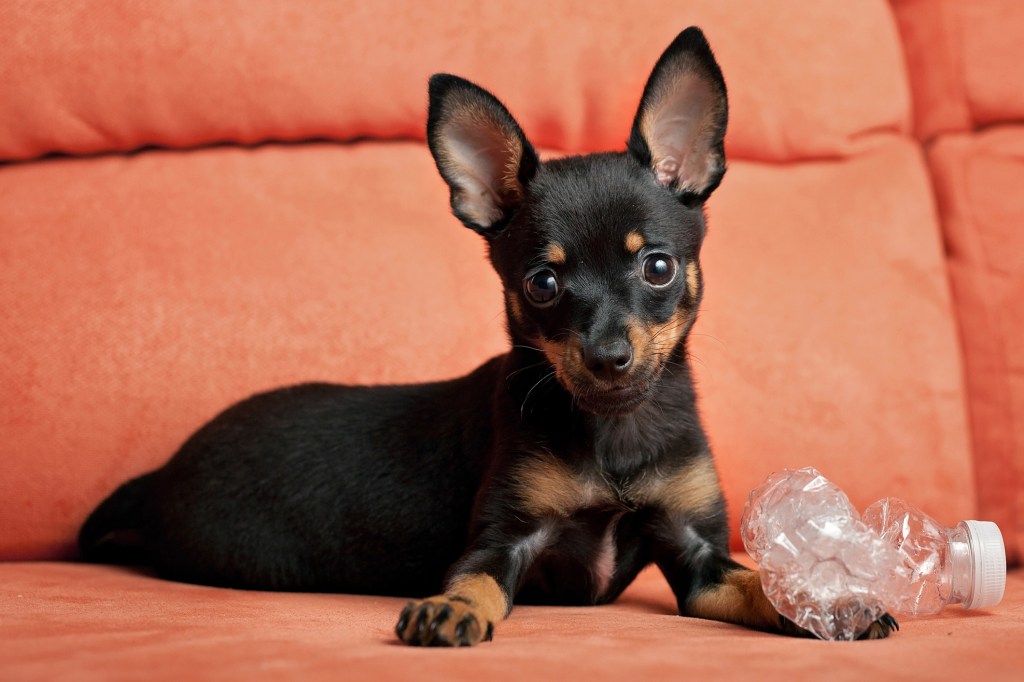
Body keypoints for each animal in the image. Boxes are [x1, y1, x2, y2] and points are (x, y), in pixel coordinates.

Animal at [77, 26, 897, 643]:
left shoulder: (699, 556)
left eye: (658, 267)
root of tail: (161, 473)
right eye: (542, 284)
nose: (608, 357)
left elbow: (764, 586)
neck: (613, 433)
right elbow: (475, 578)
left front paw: (834, 606)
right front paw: (449, 610)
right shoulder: (506, 538)